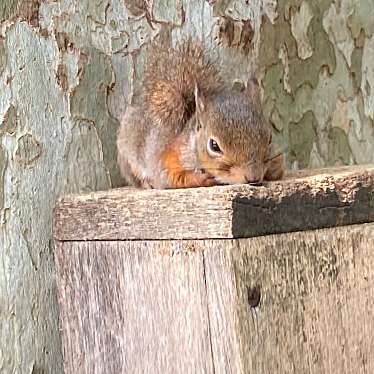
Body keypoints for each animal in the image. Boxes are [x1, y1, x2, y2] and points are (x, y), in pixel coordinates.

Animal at [117, 39, 284, 188]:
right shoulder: (168, 156)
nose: (253, 177)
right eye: (214, 145)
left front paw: (274, 168)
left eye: (270, 138)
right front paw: (200, 178)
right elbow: (169, 178)